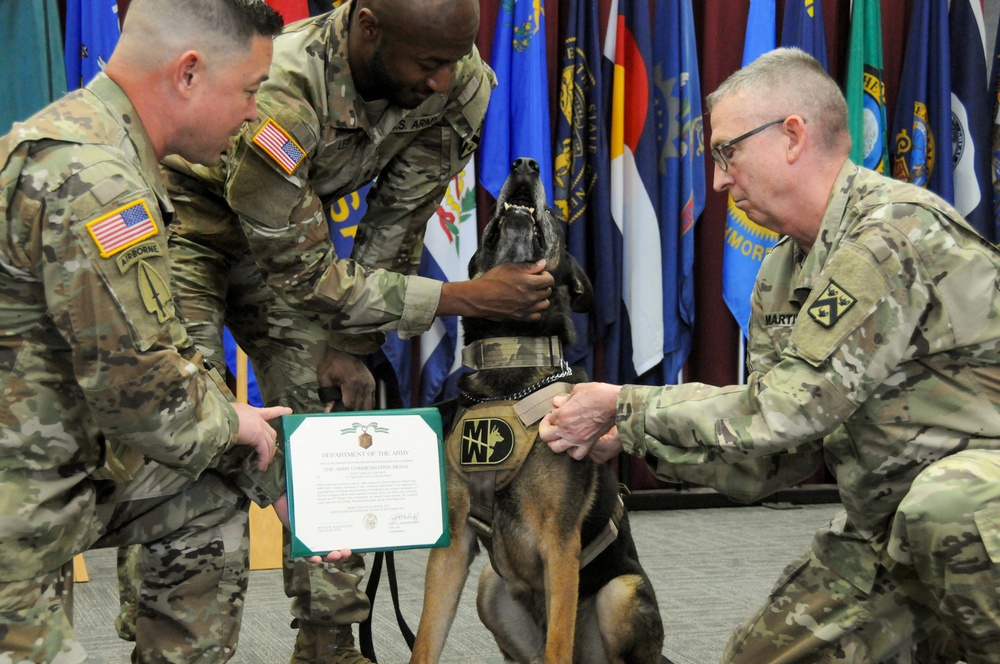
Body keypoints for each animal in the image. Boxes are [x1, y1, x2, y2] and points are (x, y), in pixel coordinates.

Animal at [410, 160, 660, 664]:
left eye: (553, 213)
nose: (526, 163)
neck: (511, 363)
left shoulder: (560, 546)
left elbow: (557, 646)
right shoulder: (454, 544)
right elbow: (425, 640)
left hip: (619, 593)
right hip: (490, 587)